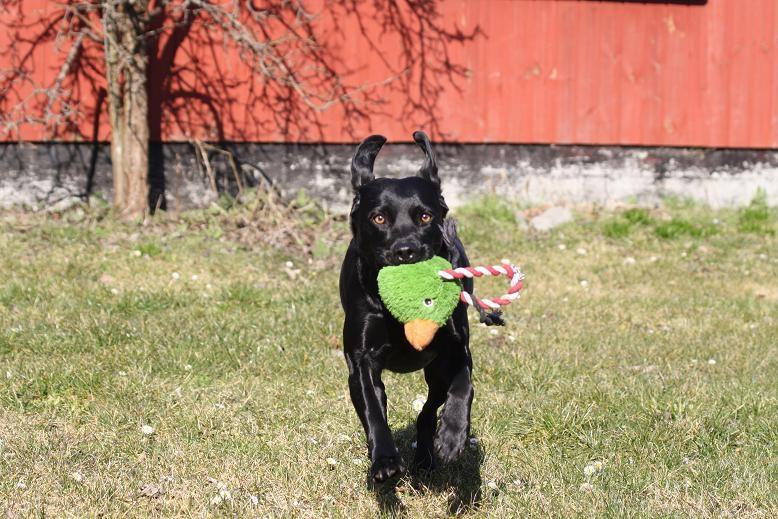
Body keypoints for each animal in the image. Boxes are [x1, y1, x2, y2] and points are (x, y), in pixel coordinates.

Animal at [342, 131, 504, 484]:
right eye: (379, 217)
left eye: (425, 216)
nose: (407, 251)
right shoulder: (361, 361)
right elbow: (373, 410)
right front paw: (385, 460)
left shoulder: (454, 349)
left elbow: (464, 388)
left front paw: (453, 436)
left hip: (434, 371)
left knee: (428, 412)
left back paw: (429, 455)